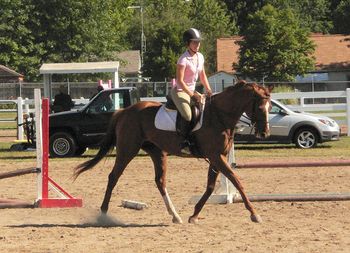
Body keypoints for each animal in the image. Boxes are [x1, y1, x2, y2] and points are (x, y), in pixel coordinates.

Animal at [74, 80, 274, 223]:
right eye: (260, 107)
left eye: (270, 107)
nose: (264, 133)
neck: (219, 116)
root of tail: (124, 111)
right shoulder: (216, 156)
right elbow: (236, 180)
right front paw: (254, 214)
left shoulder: (218, 157)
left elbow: (210, 186)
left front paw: (194, 215)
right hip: (127, 150)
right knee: (113, 177)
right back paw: (103, 213)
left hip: (157, 152)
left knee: (160, 181)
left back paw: (175, 215)